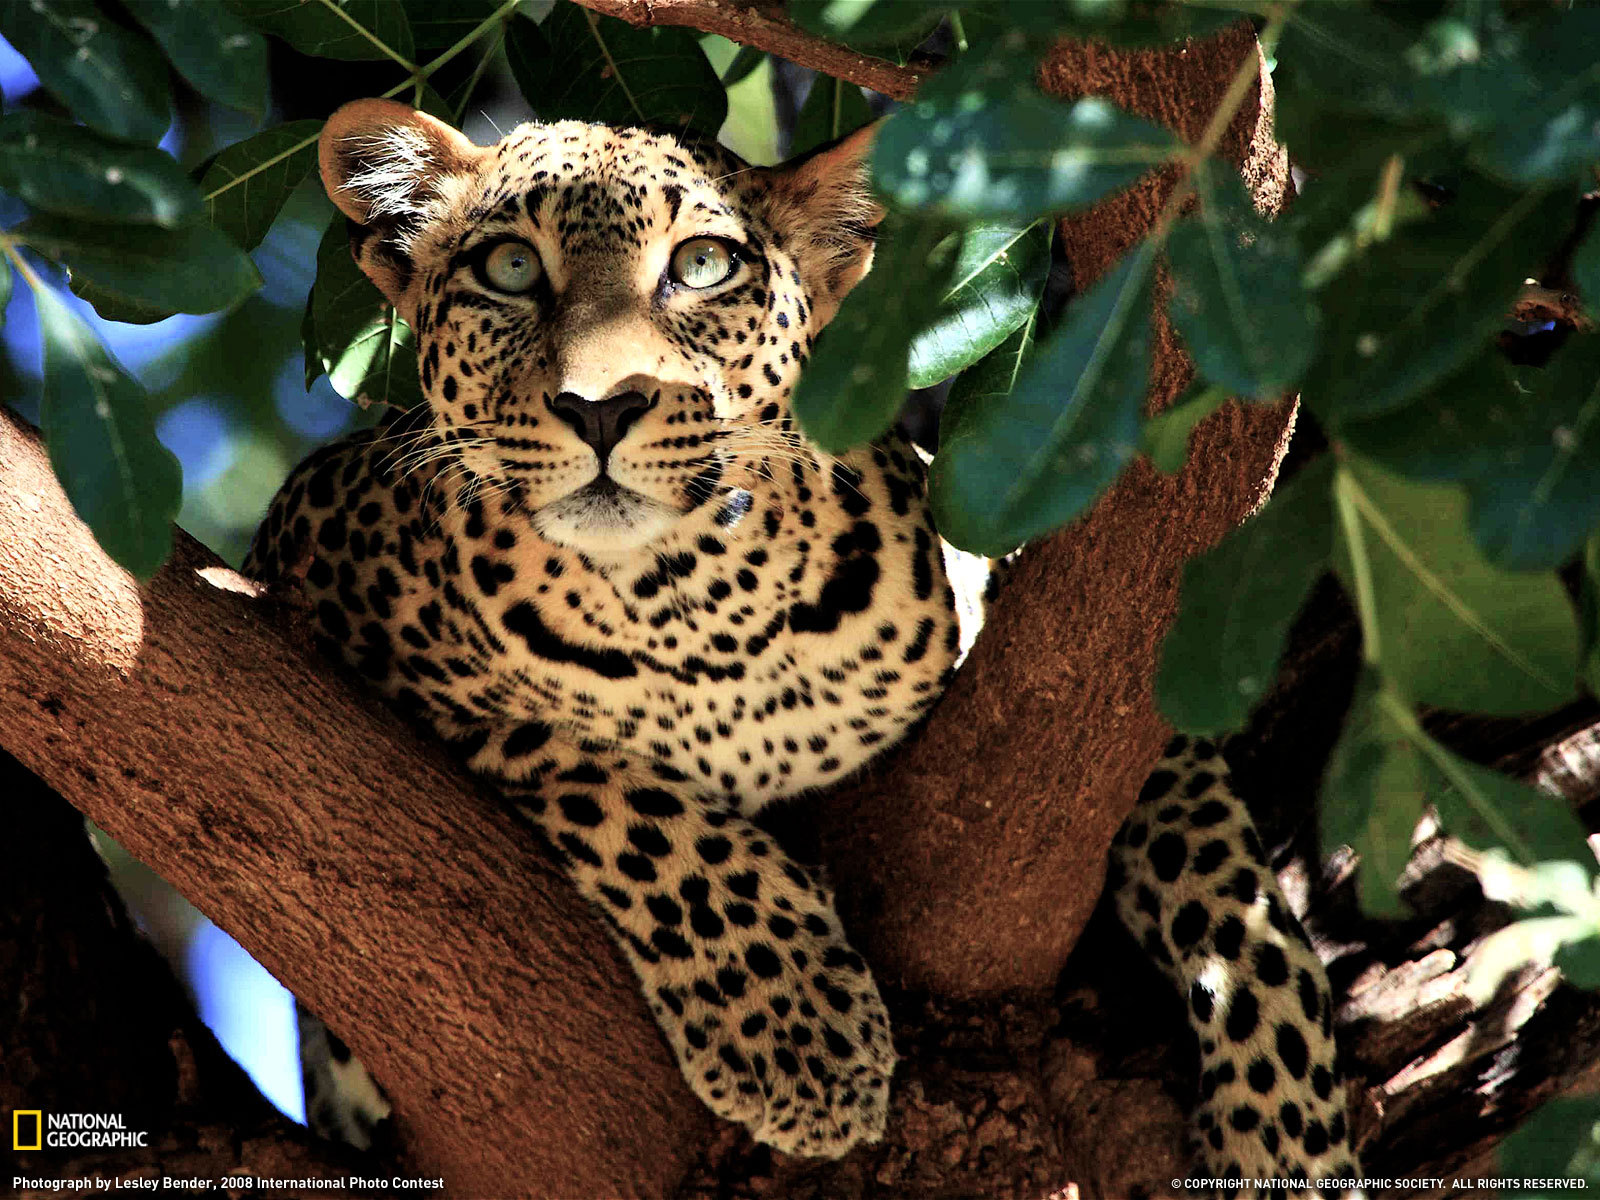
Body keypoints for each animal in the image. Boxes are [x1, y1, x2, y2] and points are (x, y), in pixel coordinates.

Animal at [243, 98, 1356, 1190]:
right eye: (510, 269)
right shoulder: (306, 568)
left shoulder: (1078, 668)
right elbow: (625, 799)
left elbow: (1223, 881)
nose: (600, 407)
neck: (694, 609)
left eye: (701, 265)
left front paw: (1288, 1135)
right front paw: (800, 1036)